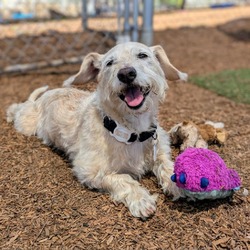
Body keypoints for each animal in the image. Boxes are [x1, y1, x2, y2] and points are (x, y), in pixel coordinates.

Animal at [6, 42, 187, 219]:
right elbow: (122, 178)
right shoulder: (88, 169)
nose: (126, 74)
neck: (131, 130)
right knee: (17, 108)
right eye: (109, 63)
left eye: (143, 55)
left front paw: (179, 184)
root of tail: (44, 96)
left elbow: (168, 166)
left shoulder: (160, 151)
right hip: (26, 123)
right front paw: (141, 200)